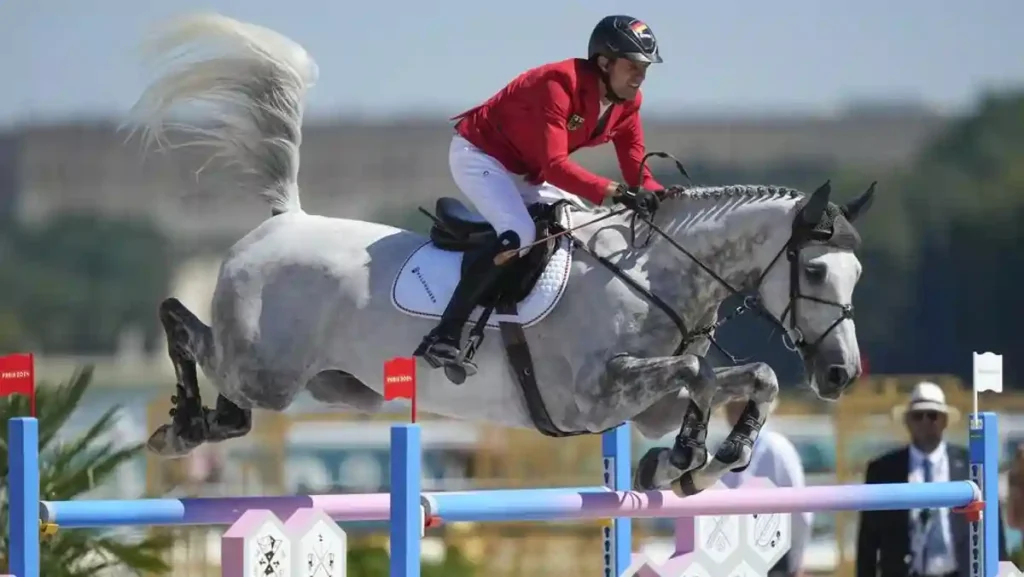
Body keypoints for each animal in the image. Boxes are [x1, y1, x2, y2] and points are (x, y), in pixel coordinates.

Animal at [130, 15, 880, 498]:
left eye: (858, 276)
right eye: (815, 269)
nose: (841, 373)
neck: (650, 277)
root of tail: (285, 221)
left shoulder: (645, 407)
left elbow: (751, 377)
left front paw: (700, 460)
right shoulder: (593, 393)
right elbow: (698, 371)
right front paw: (694, 457)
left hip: (335, 384)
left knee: (233, 402)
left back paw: (193, 422)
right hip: (265, 369)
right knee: (189, 334)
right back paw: (181, 424)